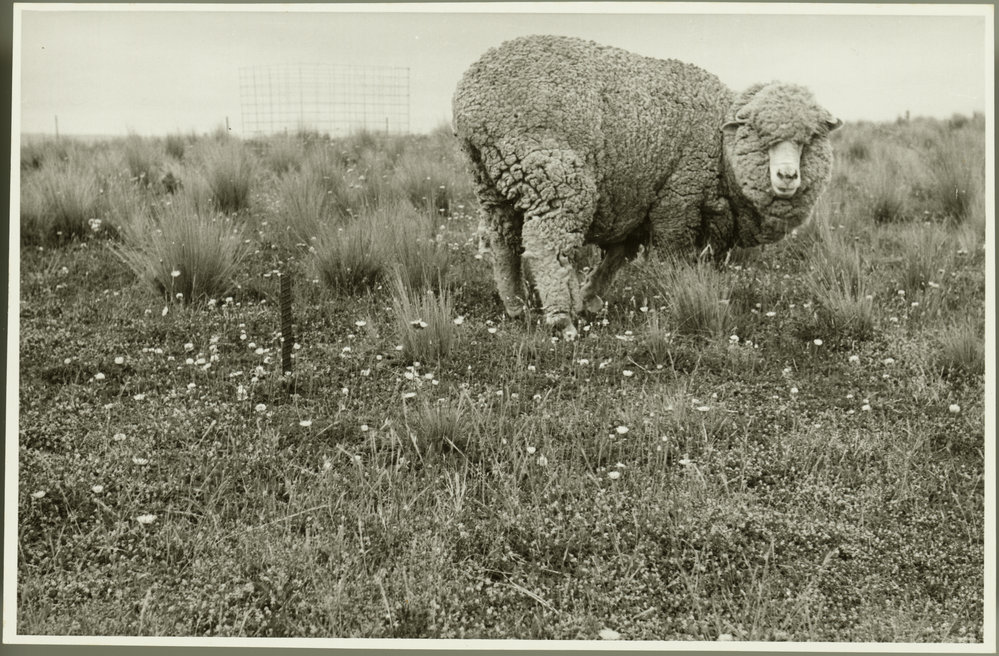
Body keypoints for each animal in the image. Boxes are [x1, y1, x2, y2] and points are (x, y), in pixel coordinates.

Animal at [452, 34, 841, 339]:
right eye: (760, 135)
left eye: (810, 138)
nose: (787, 177)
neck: (721, 146)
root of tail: (470, 99)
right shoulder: (678, 202)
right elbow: (674, 259)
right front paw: (683, 296)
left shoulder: (642, 202)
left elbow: (617, 257)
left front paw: (589, 297)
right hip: (555, 174)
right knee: (547, 246)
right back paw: (561, 319)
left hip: (491, 180)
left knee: (503, 242)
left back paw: (516, 306)